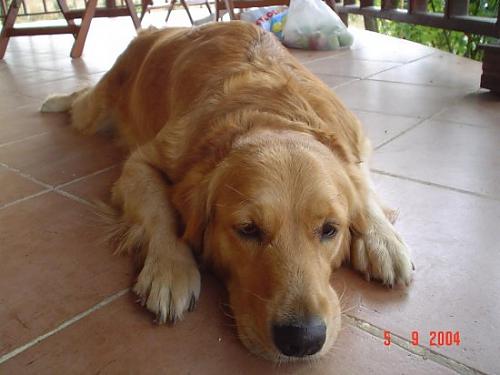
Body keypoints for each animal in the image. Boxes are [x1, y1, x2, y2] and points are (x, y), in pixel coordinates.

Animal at [42, 22, 414, 362]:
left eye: (329, 230)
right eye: (247, 230)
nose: (303, 339)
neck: (267, 115)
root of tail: (155, 30)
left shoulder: (354, 143)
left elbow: (360, 185)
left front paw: (383, 241)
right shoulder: (141, 162)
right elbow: (160, 209)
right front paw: (170, 267)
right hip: (94, 110)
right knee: (81, 97)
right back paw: (54, 100)